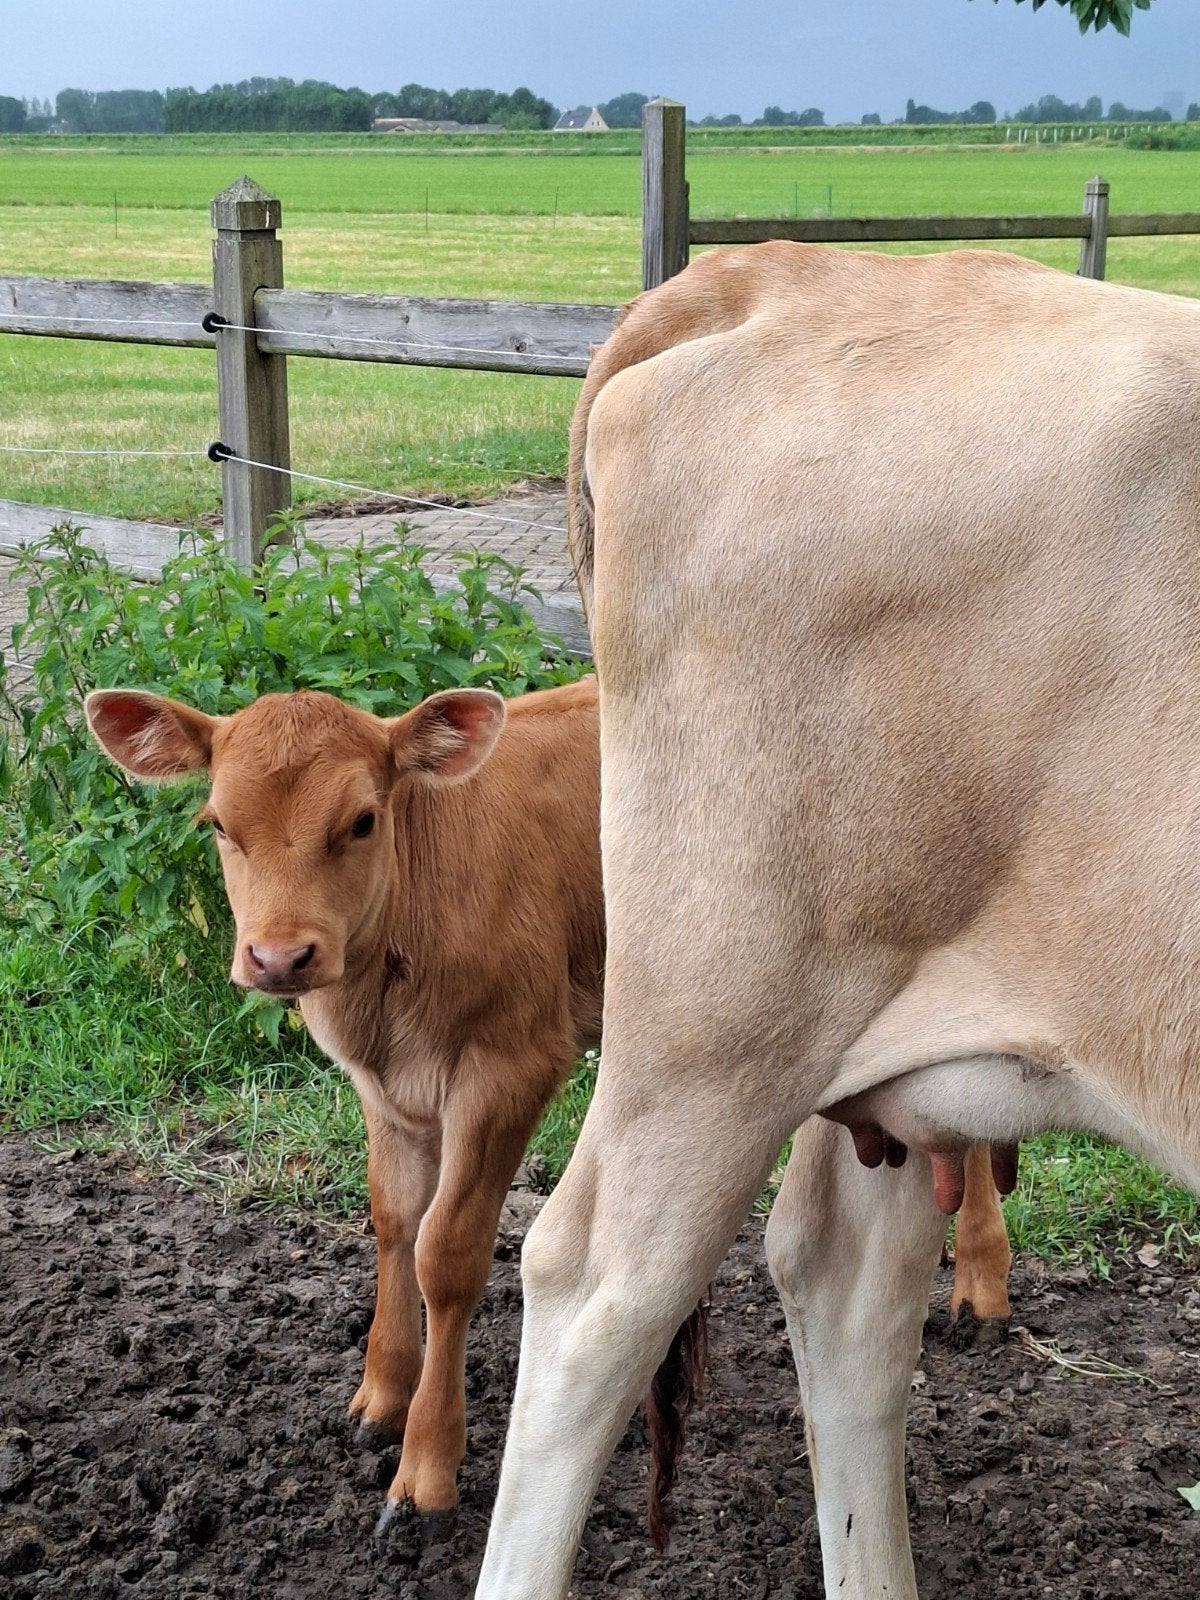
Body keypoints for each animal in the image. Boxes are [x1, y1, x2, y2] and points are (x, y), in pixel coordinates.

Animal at [85, 670, 1012, 1527]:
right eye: (218, 825)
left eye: (361, 820)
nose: (280, 957)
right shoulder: (384, 1089)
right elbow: (391, 1218)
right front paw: (381, 1395)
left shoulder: (511, 1067)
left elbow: (447, 1251)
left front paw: (427, 1466)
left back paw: (982, 1280)